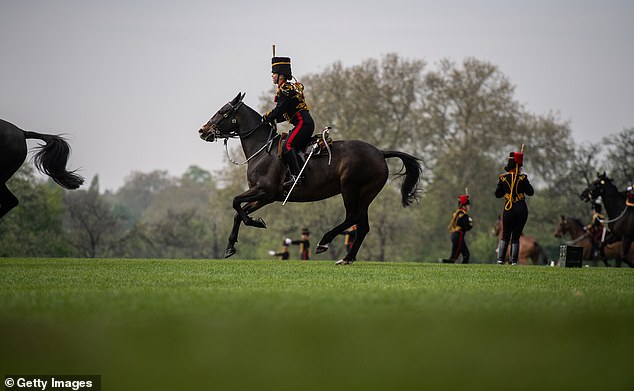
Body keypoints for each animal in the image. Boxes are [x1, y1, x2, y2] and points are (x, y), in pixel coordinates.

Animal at [198, 94, 420, 266]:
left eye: (223, 112)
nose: (203, 130)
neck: (262, 150)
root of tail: (380, 153)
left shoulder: (265, 191)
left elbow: (235, 202)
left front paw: (255, 223)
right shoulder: (265, 197)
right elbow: (238, 213)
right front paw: (233, 244)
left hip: (350, 189)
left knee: (352, 218)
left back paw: (324, 242)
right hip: (365, 195)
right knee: (362, 226)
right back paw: (347, 258)